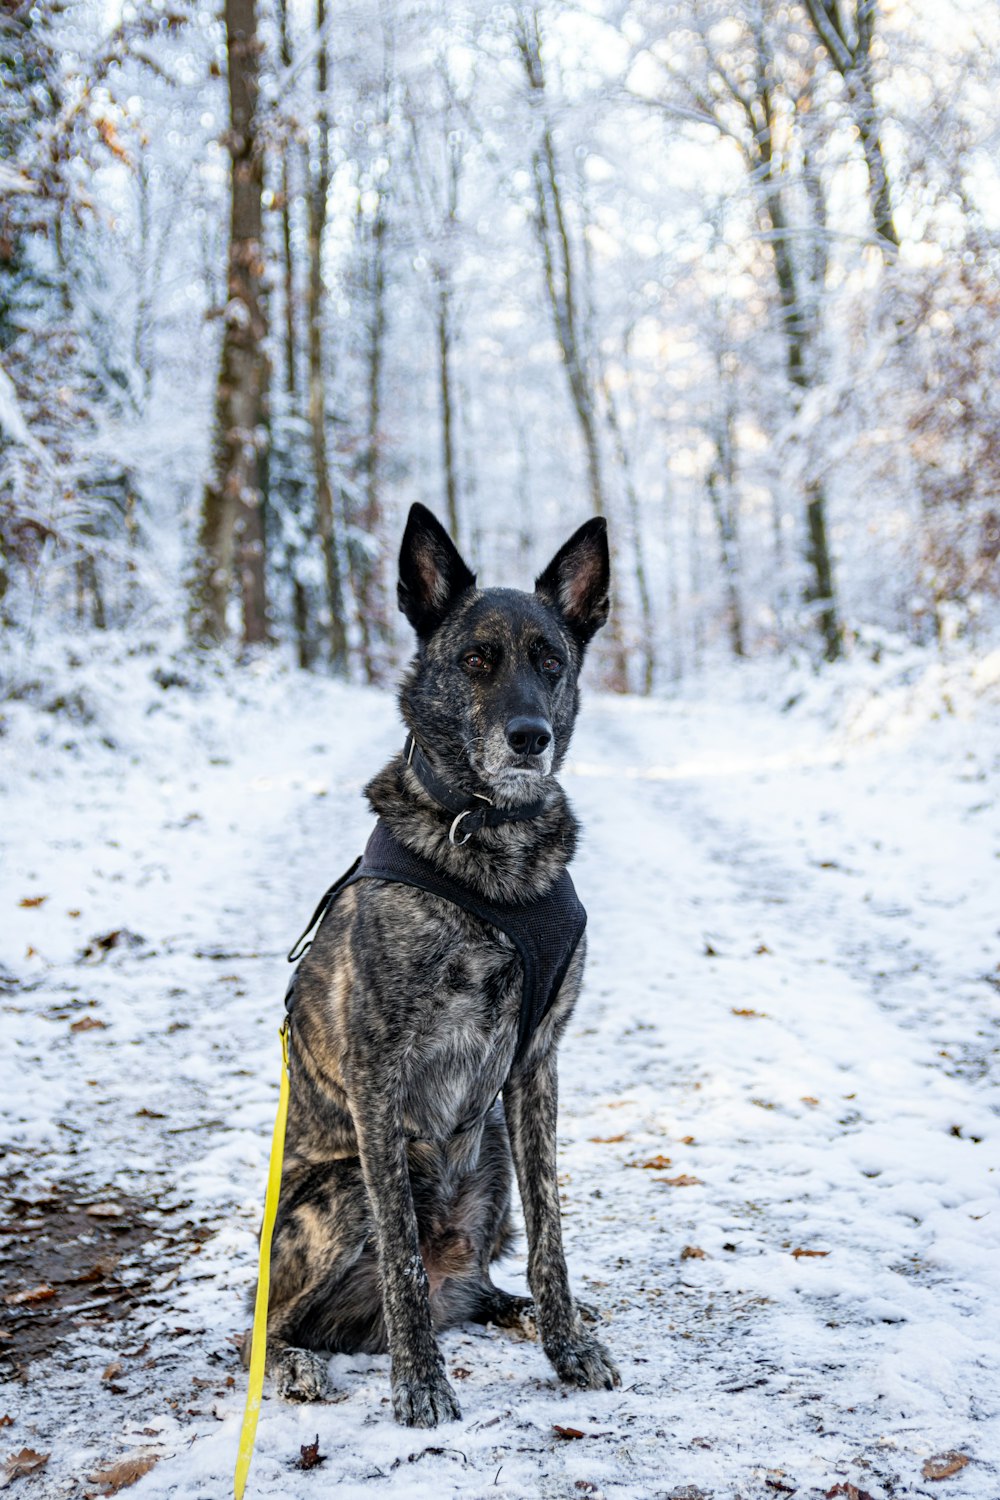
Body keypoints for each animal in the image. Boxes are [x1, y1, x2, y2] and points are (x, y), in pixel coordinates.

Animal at [257, 504, 617, 1428]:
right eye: (475, 660)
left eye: (550, 661)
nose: (529, 739)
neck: (491, 839)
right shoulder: (378, 1073)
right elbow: (402, 1265)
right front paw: (420, 1382)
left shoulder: (535, 1065)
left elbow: (553, 1235)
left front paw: (567, 1344)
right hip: (346, 1189)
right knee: (266, 1326)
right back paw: (299, 1363)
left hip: (487, 1152)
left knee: (476, 1282)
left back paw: (519, 1312)